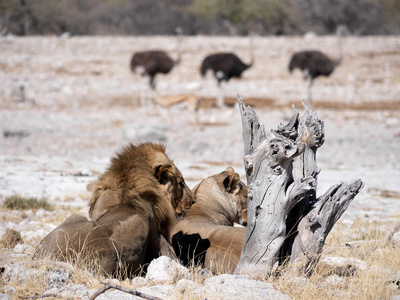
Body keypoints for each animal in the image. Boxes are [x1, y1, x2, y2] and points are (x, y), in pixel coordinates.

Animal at [34, 142, 195, 278]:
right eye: (181, 182)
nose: (193, 200)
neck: (126, 189)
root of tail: (41, 256)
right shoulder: (156, 234)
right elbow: (169, 254)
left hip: (74, 217)